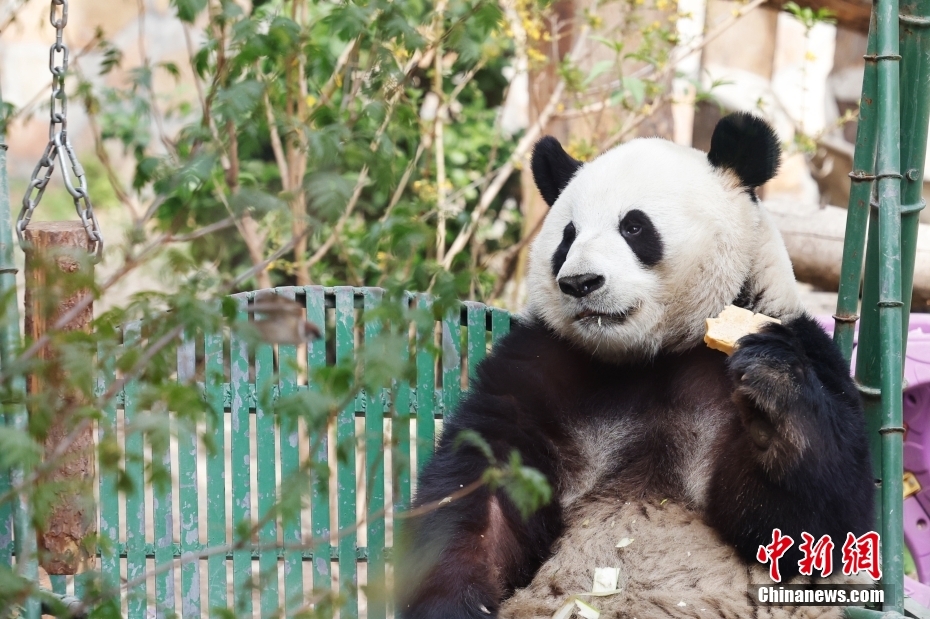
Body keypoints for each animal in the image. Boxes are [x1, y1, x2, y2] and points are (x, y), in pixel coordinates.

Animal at [396, 113, 874, 619]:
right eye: (567, 236)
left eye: (634, 227)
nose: (580, 282)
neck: (648, 355)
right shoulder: (539, 366)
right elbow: (480, 494)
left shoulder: (801, 345)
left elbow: (813, 521)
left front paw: (770, 387)